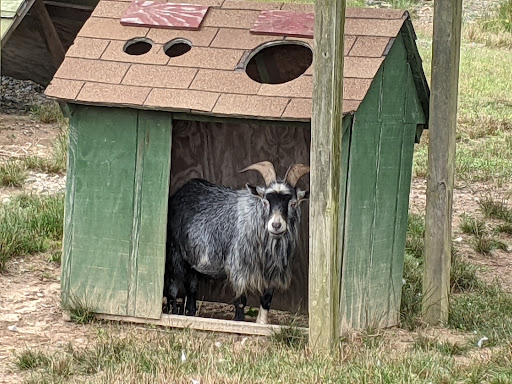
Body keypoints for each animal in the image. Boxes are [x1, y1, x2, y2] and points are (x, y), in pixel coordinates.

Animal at [164, 161, 308, 324]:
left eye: (293, 204)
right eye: (265, 201)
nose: (276, 225)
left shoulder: (273, 271)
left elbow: (266, 299)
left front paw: (262, 323)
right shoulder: (239, 268)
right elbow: (240, 300)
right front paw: (239, 320)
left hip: (193, 261)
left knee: (192, 287)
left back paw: (191, 313)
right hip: (175, 253)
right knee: (173, 287)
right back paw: (173, 314)